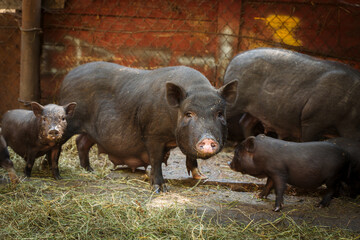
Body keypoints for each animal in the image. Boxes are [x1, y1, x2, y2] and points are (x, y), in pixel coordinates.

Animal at [60, 61, 238, 191]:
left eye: (220, 114)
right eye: (188, 114)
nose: (208, 139)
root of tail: (67, 77)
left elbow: (191, 155)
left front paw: (201, 177)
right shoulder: (153, 134)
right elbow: (156, 159)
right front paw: (160, 189)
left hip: (91, 131)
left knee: (81, 142)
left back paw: (89, 170)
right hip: (69, 123)